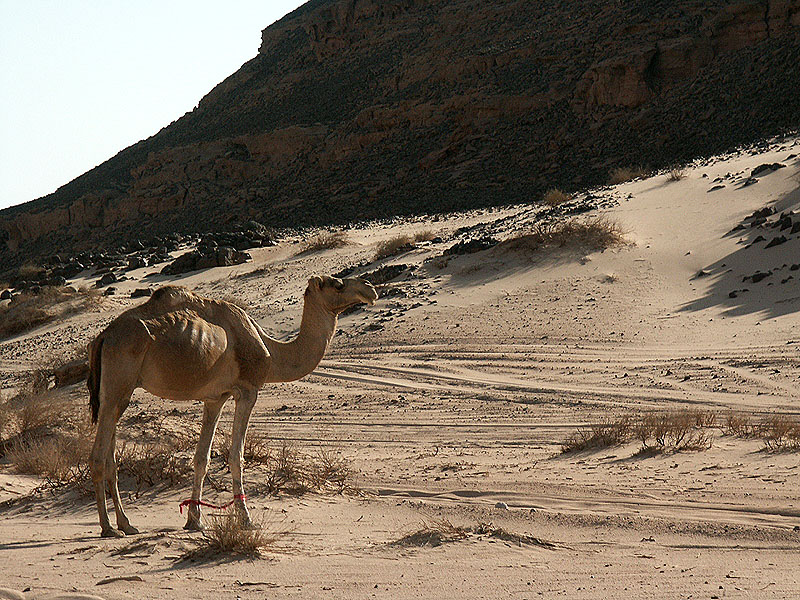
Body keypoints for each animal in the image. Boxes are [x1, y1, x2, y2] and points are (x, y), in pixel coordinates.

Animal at [86, 274, 380, 536]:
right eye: (337, 284)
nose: (370, 288)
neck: (272, 352)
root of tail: (103, 337)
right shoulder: (248, 391)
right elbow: (236, 456)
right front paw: (246, 520)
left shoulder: (215, 398)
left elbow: (201, 458)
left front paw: (195, 521)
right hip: (119, 379)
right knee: (98, 456)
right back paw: (108, 528)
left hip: (117, 392)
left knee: (111, 454)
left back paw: (126, 524)